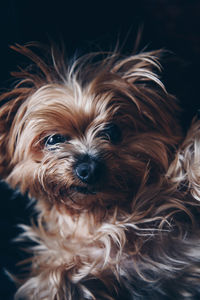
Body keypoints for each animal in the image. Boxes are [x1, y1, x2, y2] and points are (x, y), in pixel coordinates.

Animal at [0, 43, 200, 298]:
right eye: (53, 139)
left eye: (113, 131)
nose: (88, 168)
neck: (105, 214)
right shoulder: (74, 262)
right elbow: (57, 276)